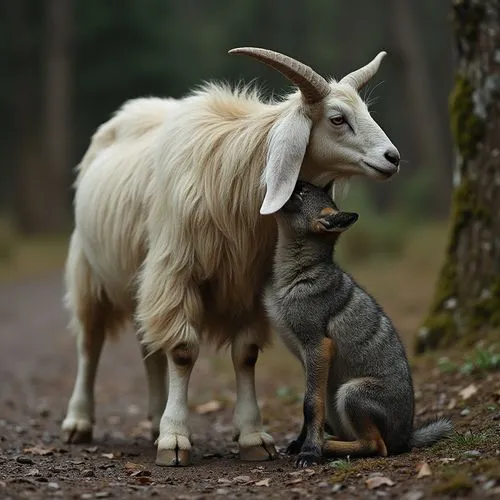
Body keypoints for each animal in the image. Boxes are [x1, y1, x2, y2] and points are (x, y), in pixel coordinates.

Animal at [62, 47, 400, 464]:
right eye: (337, 119)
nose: (392, 157)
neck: (239, 167)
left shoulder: (248, 280)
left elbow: (245, 354)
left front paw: (253, 435)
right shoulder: (176, 271)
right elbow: (183, 351)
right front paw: (175, 438)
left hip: (143, 281)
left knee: (148, 345)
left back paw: (155, 416)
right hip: (89, 271)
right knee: (89, 343)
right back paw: (79, 422)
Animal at [266, 181, 454, 468]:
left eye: (301, 192)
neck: (295, 276)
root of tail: (406, 436)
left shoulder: (318, 347)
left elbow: (310, 405)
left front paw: (310, 450)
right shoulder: (307, 359)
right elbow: (308, 406)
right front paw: (301, 442)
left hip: (350, 392)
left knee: (376, 446)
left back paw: (327, 446)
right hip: (335, 395)